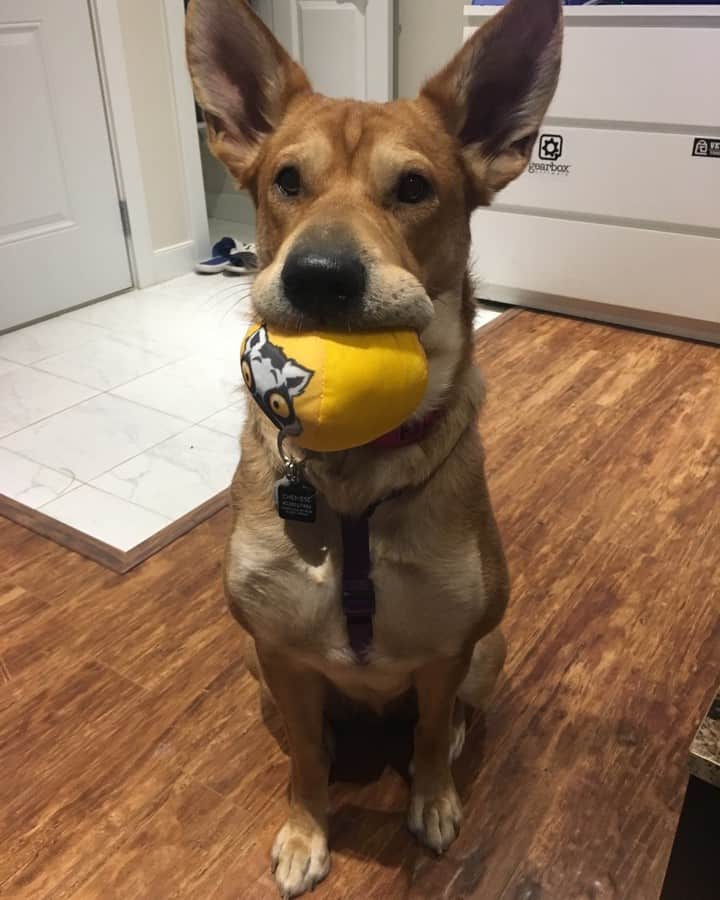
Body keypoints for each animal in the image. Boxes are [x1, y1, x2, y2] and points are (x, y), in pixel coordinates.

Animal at [186, 3, 564, 896]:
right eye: (287, 180)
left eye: (414, 188)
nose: (321, 275)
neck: (355, 473)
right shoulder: (280, 652)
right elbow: (304, 761)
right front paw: (306, 828)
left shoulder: (448, 650)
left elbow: (426, 733)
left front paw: (431, 796)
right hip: (255, 664)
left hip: (490, 649)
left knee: (446, 716)